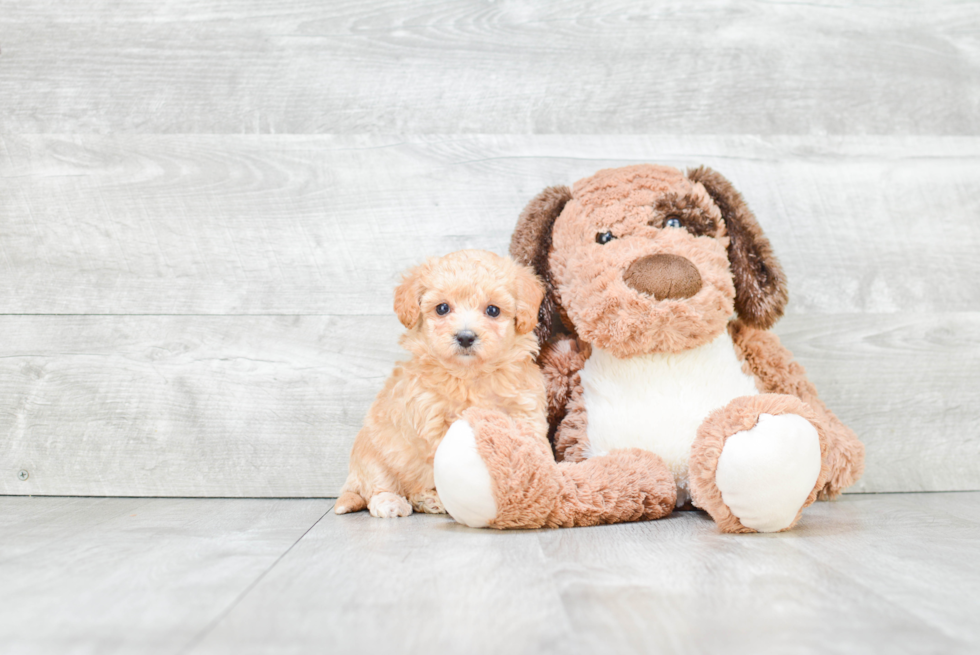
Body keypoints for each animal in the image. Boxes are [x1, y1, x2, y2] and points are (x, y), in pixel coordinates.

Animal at [334, 249, 552, 520]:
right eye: (442, 308)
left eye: (493, 310)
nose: (466, 337)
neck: (469, 376)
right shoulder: (434, 423)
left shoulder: (524, 410)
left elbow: (534, 448)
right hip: (373, 453)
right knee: (378, 488)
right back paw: (395, 502)